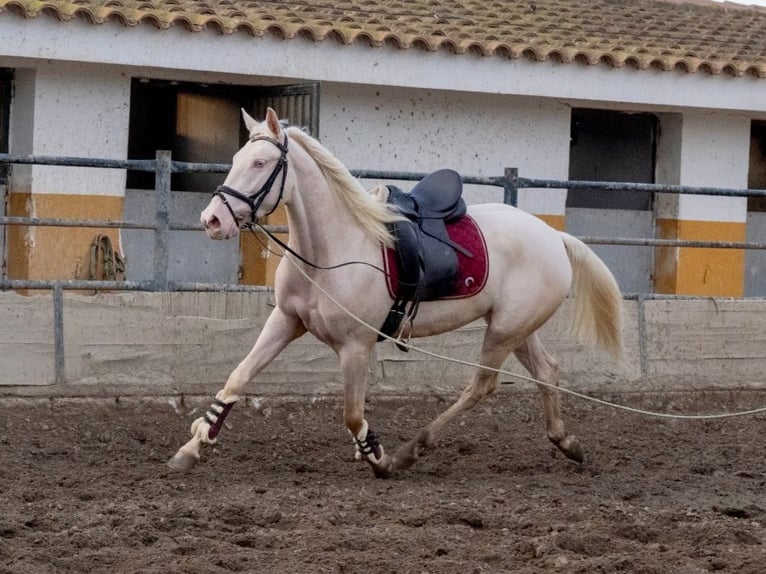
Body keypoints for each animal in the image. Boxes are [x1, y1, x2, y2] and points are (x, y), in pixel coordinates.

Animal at [168, 107, 624, 476]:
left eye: (261, 163)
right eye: (235, 161)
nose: (212, 220)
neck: (335, 247)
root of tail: (553, 236)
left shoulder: (355, 345)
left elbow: (353, 415)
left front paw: (378, 457)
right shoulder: (286, 321)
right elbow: (238, 377)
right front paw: (192, 447)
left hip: (503, 332)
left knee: (482, 386)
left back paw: (411, 450)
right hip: (517, 328)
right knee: (546, 371)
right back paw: (567, 442)